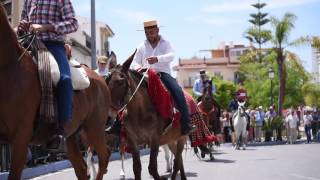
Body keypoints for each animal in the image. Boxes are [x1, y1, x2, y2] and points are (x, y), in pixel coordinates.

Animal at [0, 4, 111, 179]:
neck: (9, 67)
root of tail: (100, 78)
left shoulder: (20, 140)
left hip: (94, 129)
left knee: (104, 156)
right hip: (72, 135)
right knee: (81, 168)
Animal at [107, 52, 188, 180]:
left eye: (120, 82)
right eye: (106, 80)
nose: (109, 116)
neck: (139, 112)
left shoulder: (154, 139)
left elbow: (152, 168)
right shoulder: (133, 141)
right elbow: (137, 168)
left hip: (182, 138)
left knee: (177, 162)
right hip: (170, 139)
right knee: (178, 159)